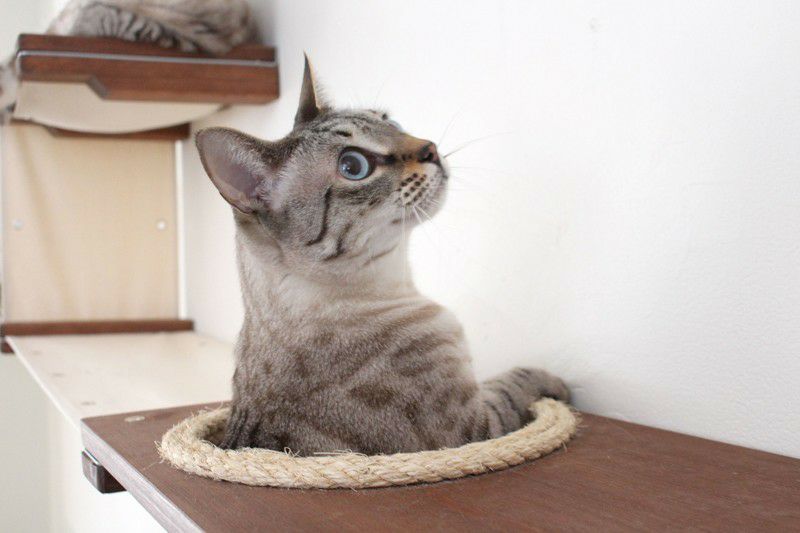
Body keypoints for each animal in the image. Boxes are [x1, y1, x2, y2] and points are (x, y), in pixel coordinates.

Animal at [195, 57, 570, 455]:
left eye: (391, 123)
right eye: (353, 166)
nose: (430, 148)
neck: (398, 283)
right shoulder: (473, 429)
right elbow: (513, 383)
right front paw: (556, 383)